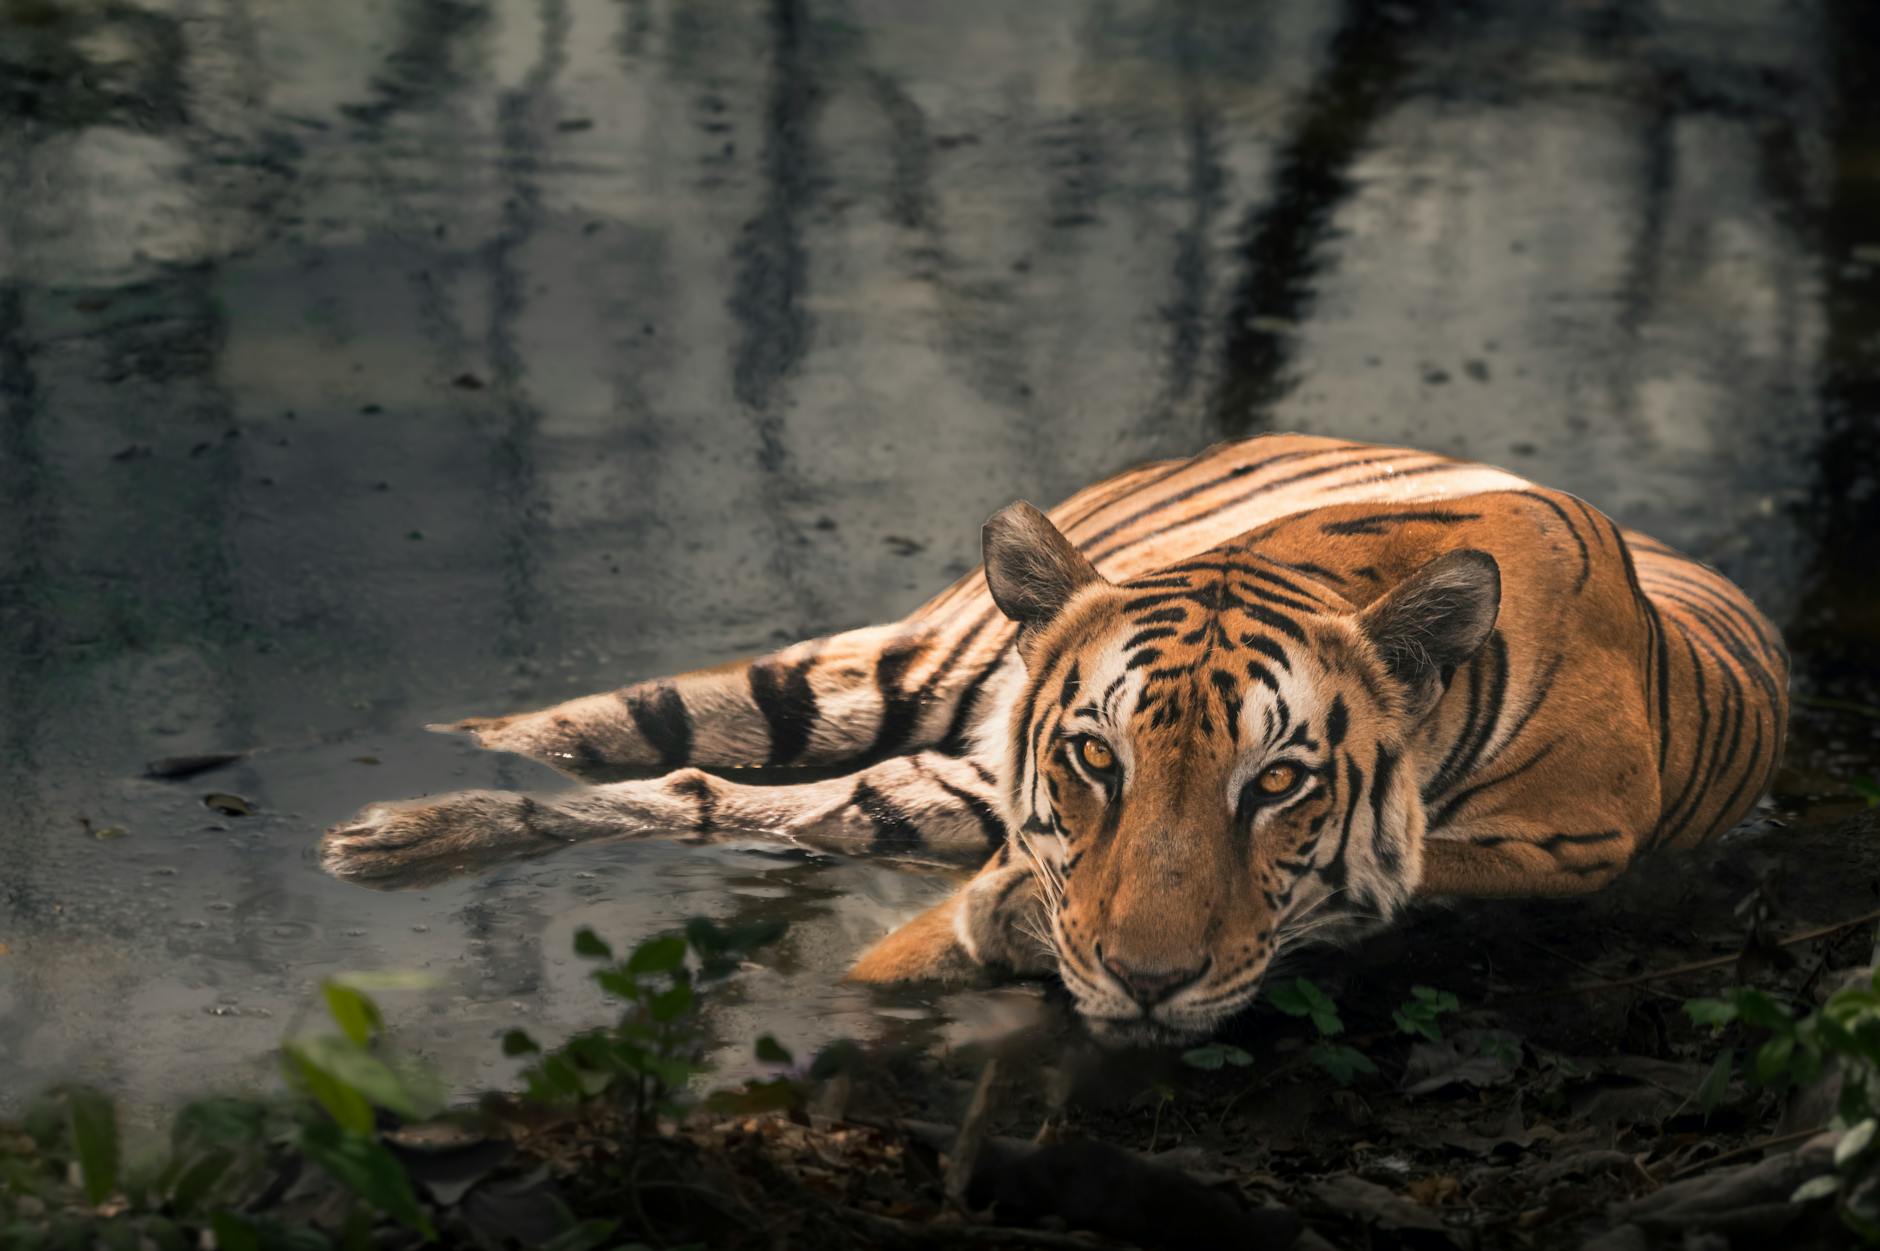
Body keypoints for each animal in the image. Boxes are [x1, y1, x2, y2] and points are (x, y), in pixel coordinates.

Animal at [319, 434, 1789, 1044]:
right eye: (1097, 757)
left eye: (1281, 783)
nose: (1139, 976)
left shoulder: (1568, 843)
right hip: (890, 674)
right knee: (650, 736)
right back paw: (394, 798)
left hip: (921, 759)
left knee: (725, 781)